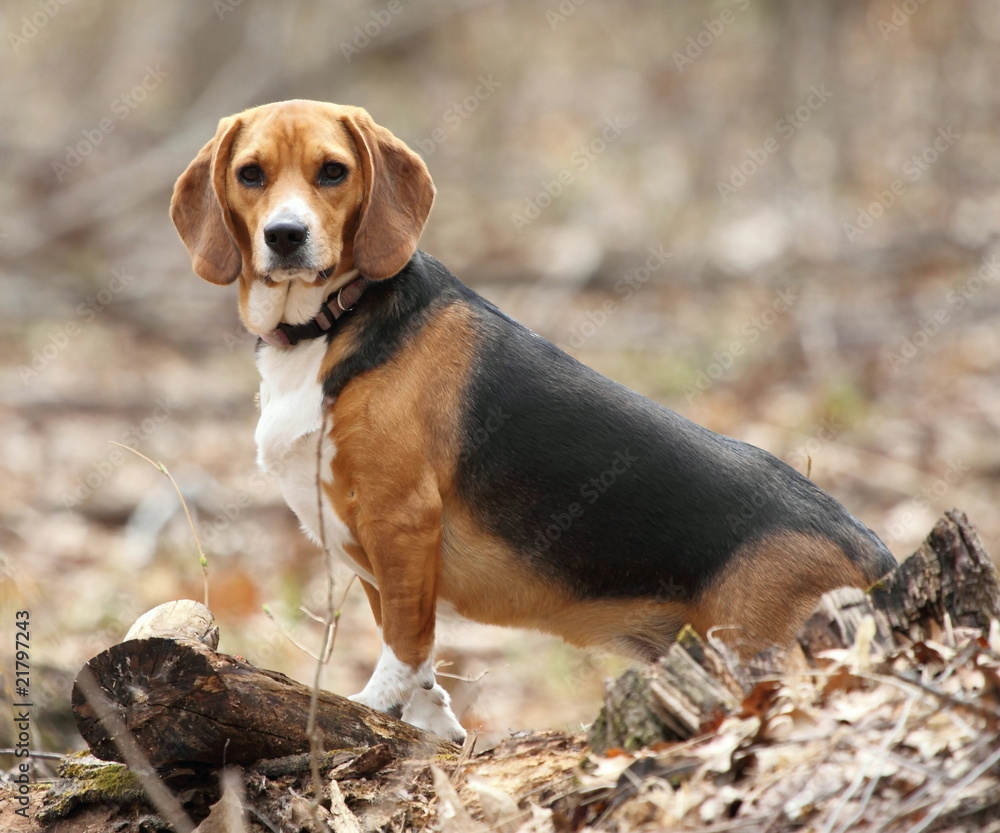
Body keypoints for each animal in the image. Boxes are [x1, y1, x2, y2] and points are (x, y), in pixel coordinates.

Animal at [168, 99, 896, 740]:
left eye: (332, 171)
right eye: (251, 174)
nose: (284, 236)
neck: (332, 323)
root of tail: (873, 549)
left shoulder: (399, 518)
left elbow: (403, 642)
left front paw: (365, 710)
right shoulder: (374, 545)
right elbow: (417, 654)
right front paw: (432, 729)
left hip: (756, 647)